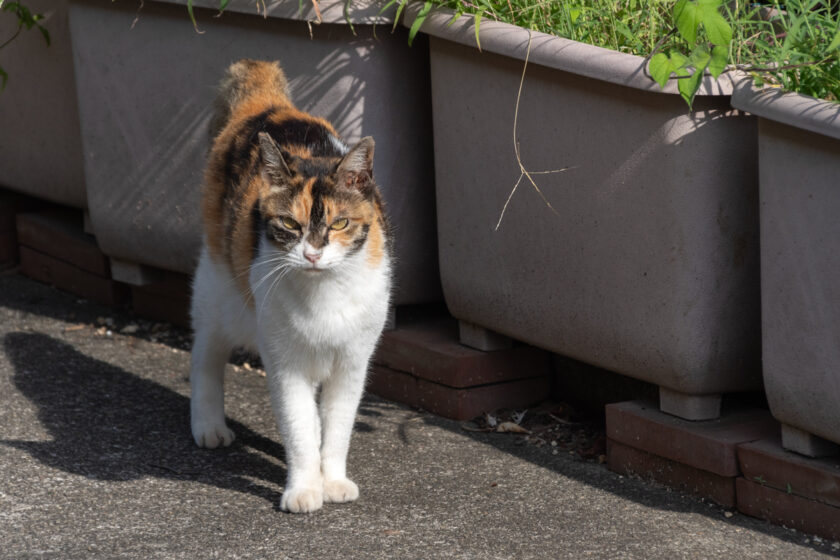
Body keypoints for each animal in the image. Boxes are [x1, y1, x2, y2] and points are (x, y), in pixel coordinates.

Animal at [189, 60, 392, 512]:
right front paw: (303, 489)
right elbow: (299, 428)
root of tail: (268, 103)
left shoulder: (352, 362)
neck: (325, 294)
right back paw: (208, 425)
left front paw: (333, 481)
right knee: (205, 353)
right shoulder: (286, 364)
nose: (312, 254)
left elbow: (336, 427)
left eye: (340, 223)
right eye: (288, 224)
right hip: (220, 289)